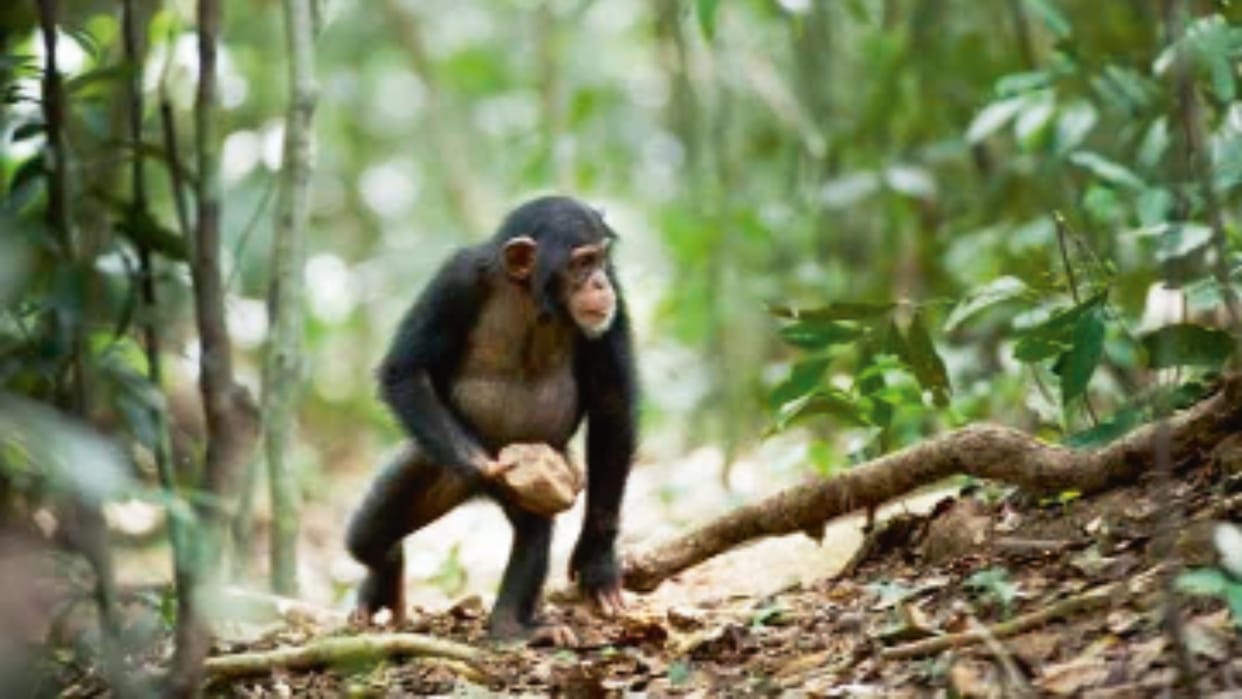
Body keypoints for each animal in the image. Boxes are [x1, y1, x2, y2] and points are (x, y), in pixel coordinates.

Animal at [345, 195, 638, 645]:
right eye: (582, 263)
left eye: (602, 260)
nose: (600, 283)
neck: (530, 295)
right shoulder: (455, 280)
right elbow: (406, 370)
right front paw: (485, 466)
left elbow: (611, 404)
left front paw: (598, 559)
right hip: (430, 461)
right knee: (367, 539)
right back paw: (387, 573)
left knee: (532, 534)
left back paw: (509, 626)